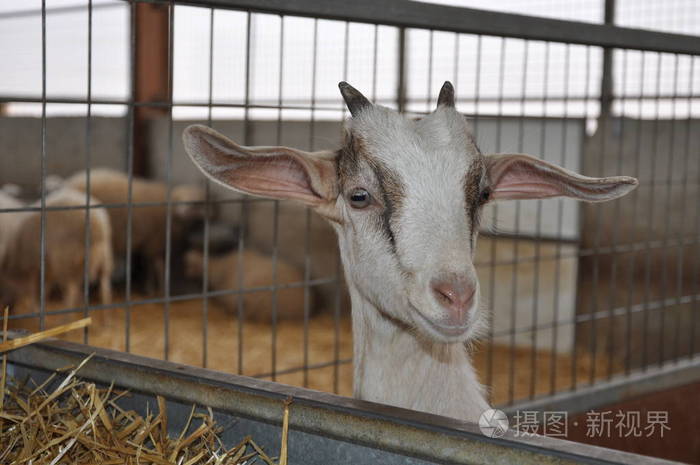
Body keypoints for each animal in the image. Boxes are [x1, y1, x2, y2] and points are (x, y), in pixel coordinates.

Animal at [64, 167, 208, 290]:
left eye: (197, 203)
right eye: (182, 200)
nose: (184, 210)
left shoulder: (153, 242)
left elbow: (154, 264)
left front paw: (153, 286)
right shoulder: (154, 242)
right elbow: (155, 265)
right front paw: (154, 287)